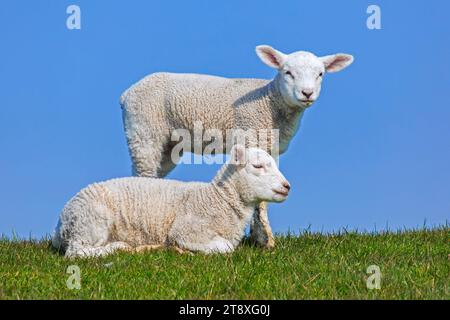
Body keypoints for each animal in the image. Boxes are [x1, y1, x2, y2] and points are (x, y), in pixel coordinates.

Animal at [52, 145, 290, 258]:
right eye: (258, 166)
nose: (287, 186)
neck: (217, 200)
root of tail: (60, 224)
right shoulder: (187, 230)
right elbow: (225, 248)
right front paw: (182, 250)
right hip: (91, 220)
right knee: (77, 252)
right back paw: (119, 247)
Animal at [120, 45, 356, 249]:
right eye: (287, 72)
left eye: (320, 74)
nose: (307, 93)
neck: (271, 101)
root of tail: (127, 94)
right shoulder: (250, 135)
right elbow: (260, 198)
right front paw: (265, 240)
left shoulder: (271, 148)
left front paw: (260, 236)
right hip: (144, 132)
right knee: (145, 172)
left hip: (167, 147)